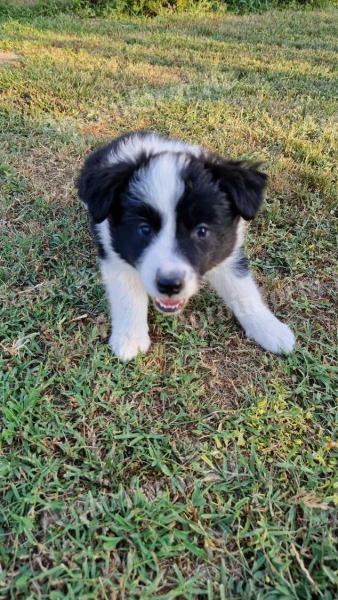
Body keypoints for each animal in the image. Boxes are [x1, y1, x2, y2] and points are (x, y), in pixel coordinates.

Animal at [78, 131, 294, 360]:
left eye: (202, 231)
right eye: (144, 229)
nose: (169, 285)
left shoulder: (227, 250)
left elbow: (242, 289)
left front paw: (270, 329)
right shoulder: (114, 253)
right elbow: (127, 295)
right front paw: (130, 338)